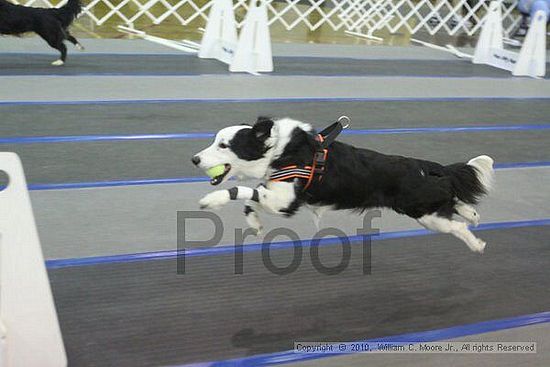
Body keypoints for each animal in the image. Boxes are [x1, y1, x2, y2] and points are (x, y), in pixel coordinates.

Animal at [193, 118, 496, 253]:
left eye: (224, 145)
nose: (194, 159)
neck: (281, 150)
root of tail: (425, 166)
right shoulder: (276, 195)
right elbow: (249, 200)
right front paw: (255, 224)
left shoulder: (285, 203)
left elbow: (240, 192)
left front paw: (211, 200)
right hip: (426, 208)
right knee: (455, 202)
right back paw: (473, 215)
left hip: (425, 214)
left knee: (457, 225)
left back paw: (477, 243)